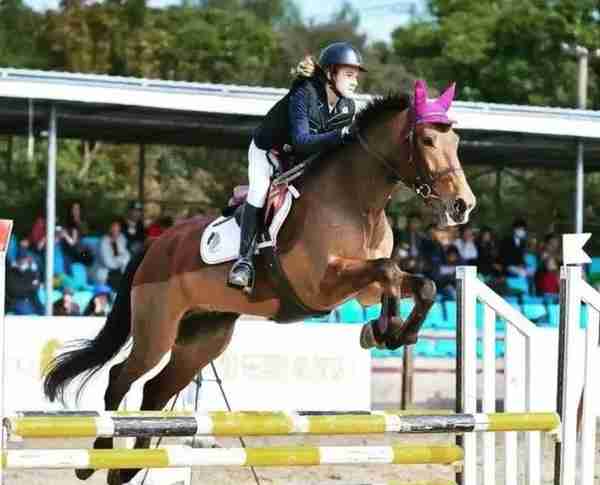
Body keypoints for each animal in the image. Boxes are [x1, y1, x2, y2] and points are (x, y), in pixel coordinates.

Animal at [42, 81, 474, 482]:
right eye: (427, 139)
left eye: (456, 141)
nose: (463, 205)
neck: (356, 201)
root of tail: (155, 244)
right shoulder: (320, 284)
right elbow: (387, 270)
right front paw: (386, 330)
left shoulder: (363, 286)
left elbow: (412, 281)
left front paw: (390, 331)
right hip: (156, 328)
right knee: (121, 377)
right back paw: (96, 461)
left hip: (204, 337)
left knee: (156, 389)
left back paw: (129, 467)